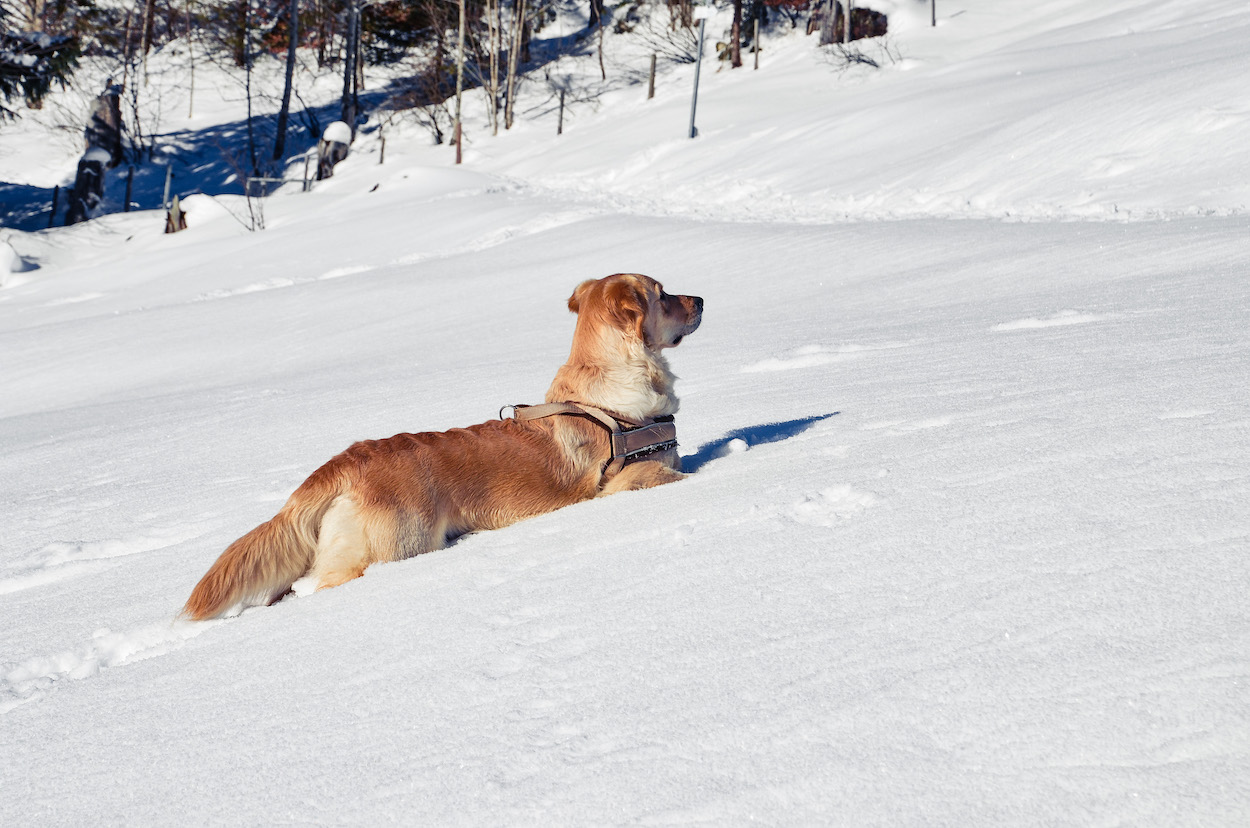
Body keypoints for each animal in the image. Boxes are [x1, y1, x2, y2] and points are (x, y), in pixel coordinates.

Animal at [182, 275, 705, 620]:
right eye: (662, 293)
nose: (701, 298)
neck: (607, 397)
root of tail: (346, 460)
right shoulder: (626, 482)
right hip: (396, 546)